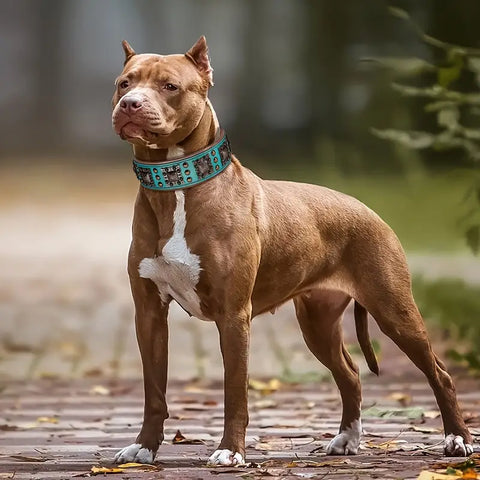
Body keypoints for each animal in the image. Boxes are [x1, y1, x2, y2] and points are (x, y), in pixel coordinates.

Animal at [111, 36, 472, 464]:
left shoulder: (234, 316)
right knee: (350, 374)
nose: (130, 103)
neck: (175, 186)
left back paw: (457, 439)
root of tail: (370, 211)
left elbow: (235, 392)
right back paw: (347, 439)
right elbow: (154, 391)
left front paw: (230, 451)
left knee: (440, 373)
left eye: (169, 86)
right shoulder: (150, 314)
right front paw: (144, 446)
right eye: (124, 83)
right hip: (317, 322)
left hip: (394, 311)